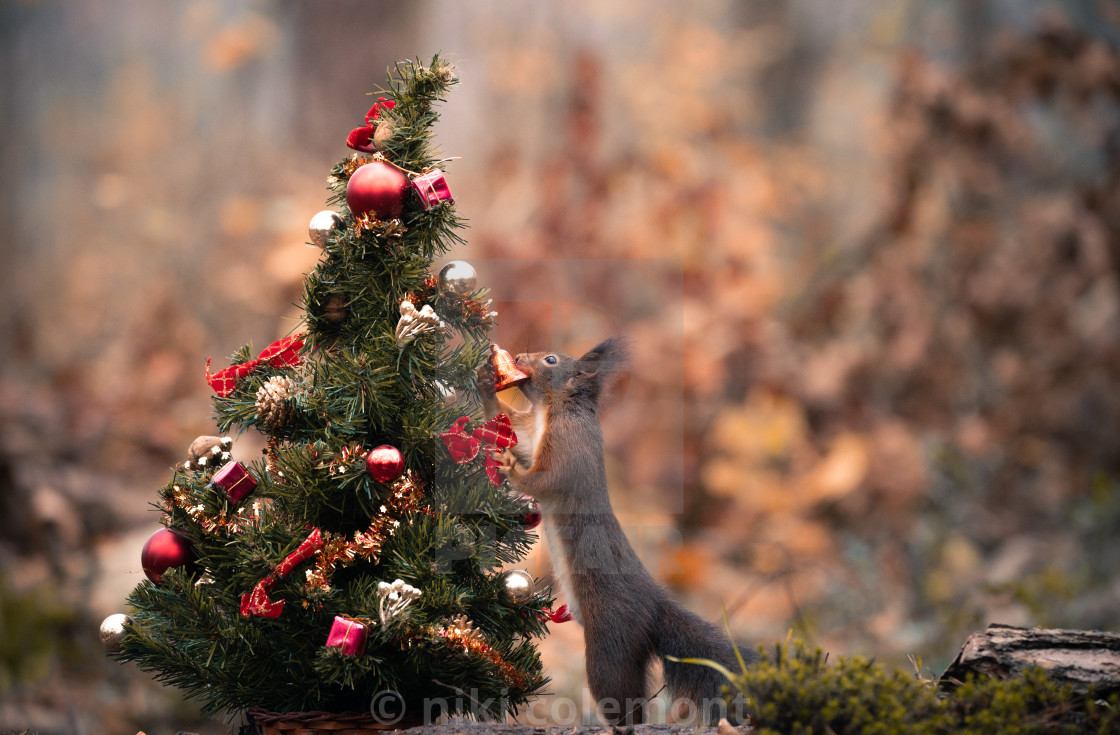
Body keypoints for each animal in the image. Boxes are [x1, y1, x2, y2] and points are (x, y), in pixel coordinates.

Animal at [472, 338, 743, 721]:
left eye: (551, 360)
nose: (520, 357)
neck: (551, 412)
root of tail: (653, 608)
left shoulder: (569, 449)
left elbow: (545, 480)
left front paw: (509, 467)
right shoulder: (530, 434)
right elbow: (514, 429)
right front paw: (484, 382)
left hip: (611, 645)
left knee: (621, 699)